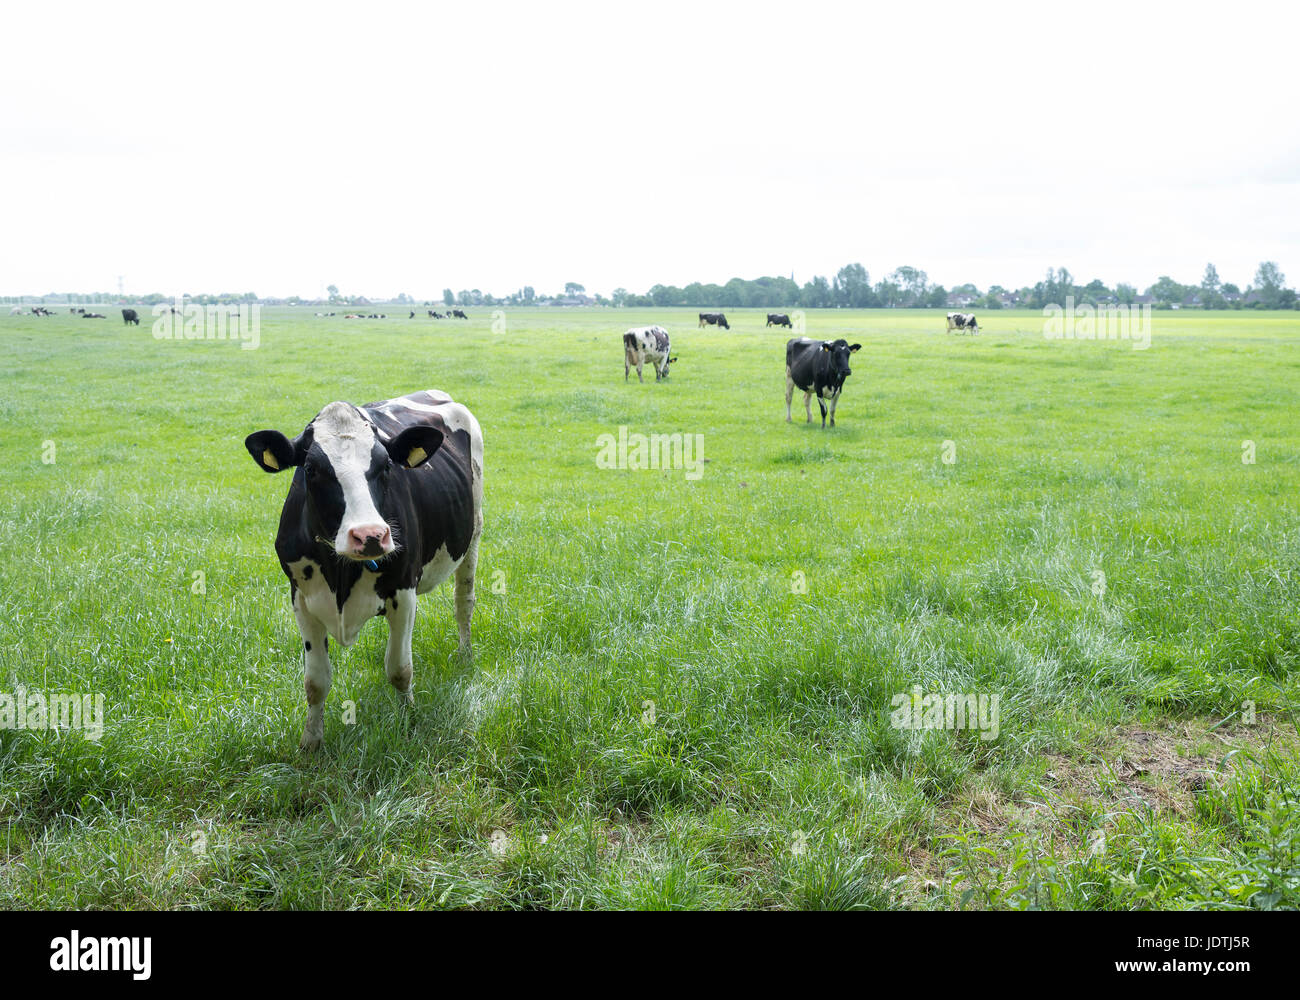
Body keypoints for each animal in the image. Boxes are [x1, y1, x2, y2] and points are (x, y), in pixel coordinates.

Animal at [244, 389, 484, 751]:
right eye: (310, 469)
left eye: (385, 466)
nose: (370, 535)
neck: (340, 574)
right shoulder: (300, 597)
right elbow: (315, 681)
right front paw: (311, 741)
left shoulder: (403, 591)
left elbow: (399, 668)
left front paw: (408, 723)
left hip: (474, 533)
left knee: (463, 602)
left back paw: (465, 654)